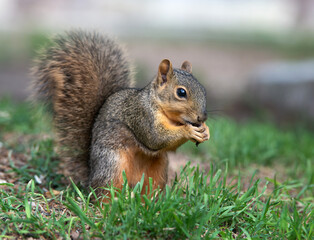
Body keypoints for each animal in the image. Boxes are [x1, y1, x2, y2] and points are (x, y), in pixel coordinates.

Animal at [31, 30, 210, 195]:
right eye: (181, 92)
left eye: (203, 89)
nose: (202, 117)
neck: (167, 114)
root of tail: (90, 176)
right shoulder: (141, 115)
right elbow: (155, 137)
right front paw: (189, 130)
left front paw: (205, 130)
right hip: (112, 164)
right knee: (103, 193)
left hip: (158, 170)